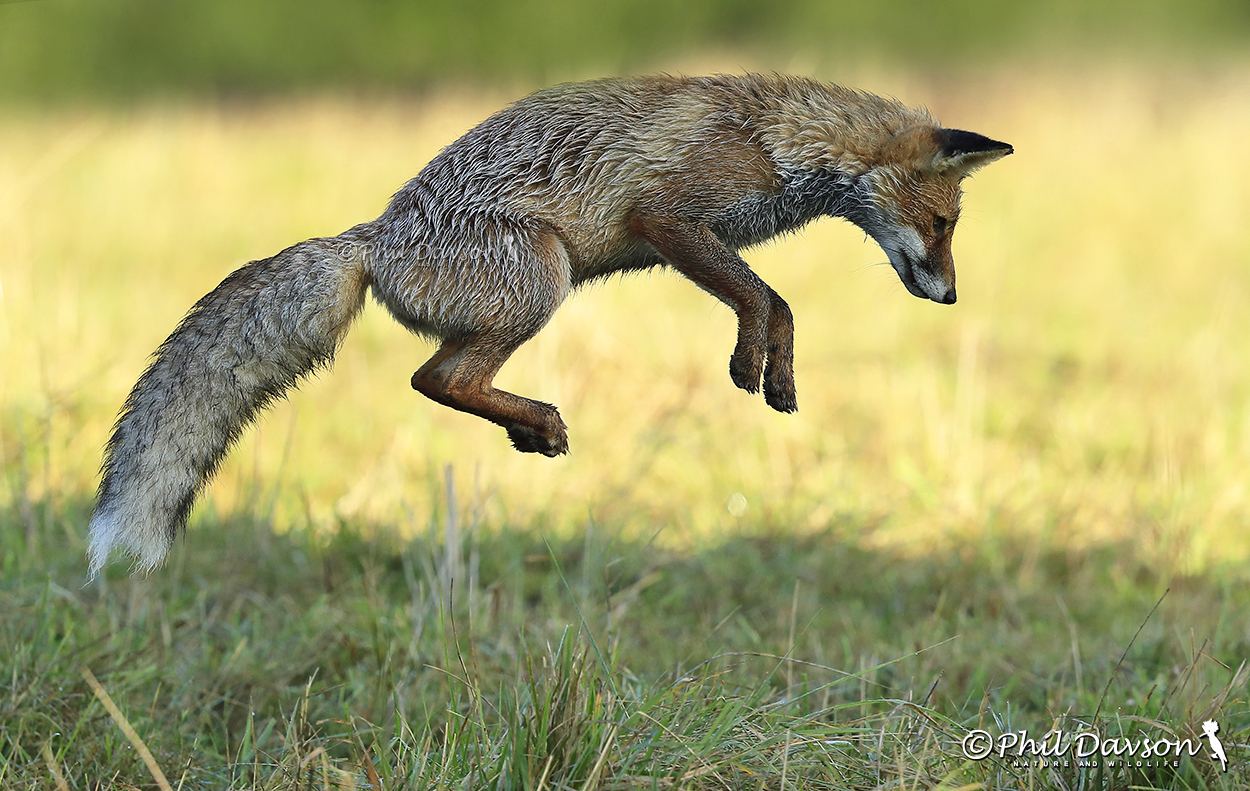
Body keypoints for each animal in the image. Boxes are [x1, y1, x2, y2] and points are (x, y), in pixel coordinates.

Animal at [87, 73, 1011, 575]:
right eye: (943, 225)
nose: (952, 297)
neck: (777, 140)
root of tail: (371, 236)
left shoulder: (693, 233)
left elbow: (772, 299)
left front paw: (773, 371)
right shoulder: (669, 217)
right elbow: (767, 297)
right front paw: (759, 364)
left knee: (439, 377)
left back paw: (527, 429)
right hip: (544, 276)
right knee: (438, 376)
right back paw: (540, 421)